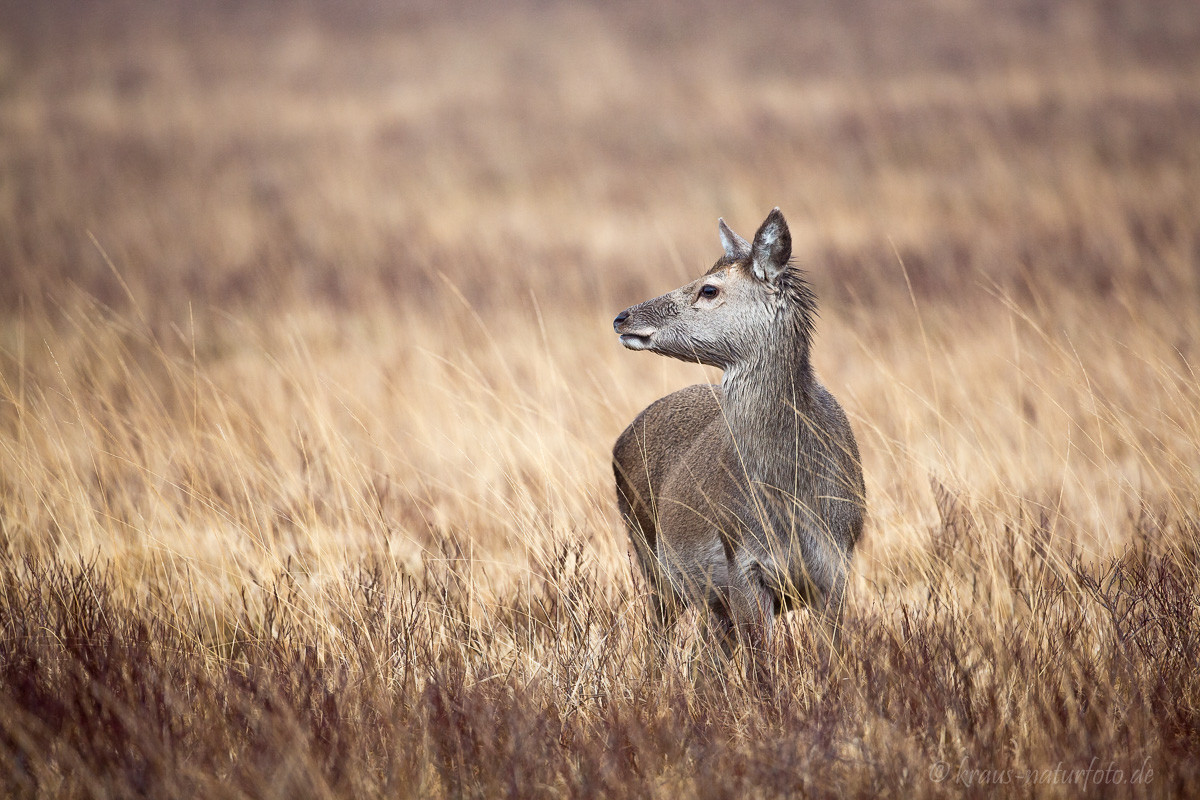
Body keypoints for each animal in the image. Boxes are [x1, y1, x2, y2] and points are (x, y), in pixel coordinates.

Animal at [619, 209, 864, 662]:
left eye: (709, 288)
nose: (622, 317)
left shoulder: (837, 565)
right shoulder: (743, 562)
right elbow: (762, 664)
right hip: (650, 557)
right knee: (657, 636)